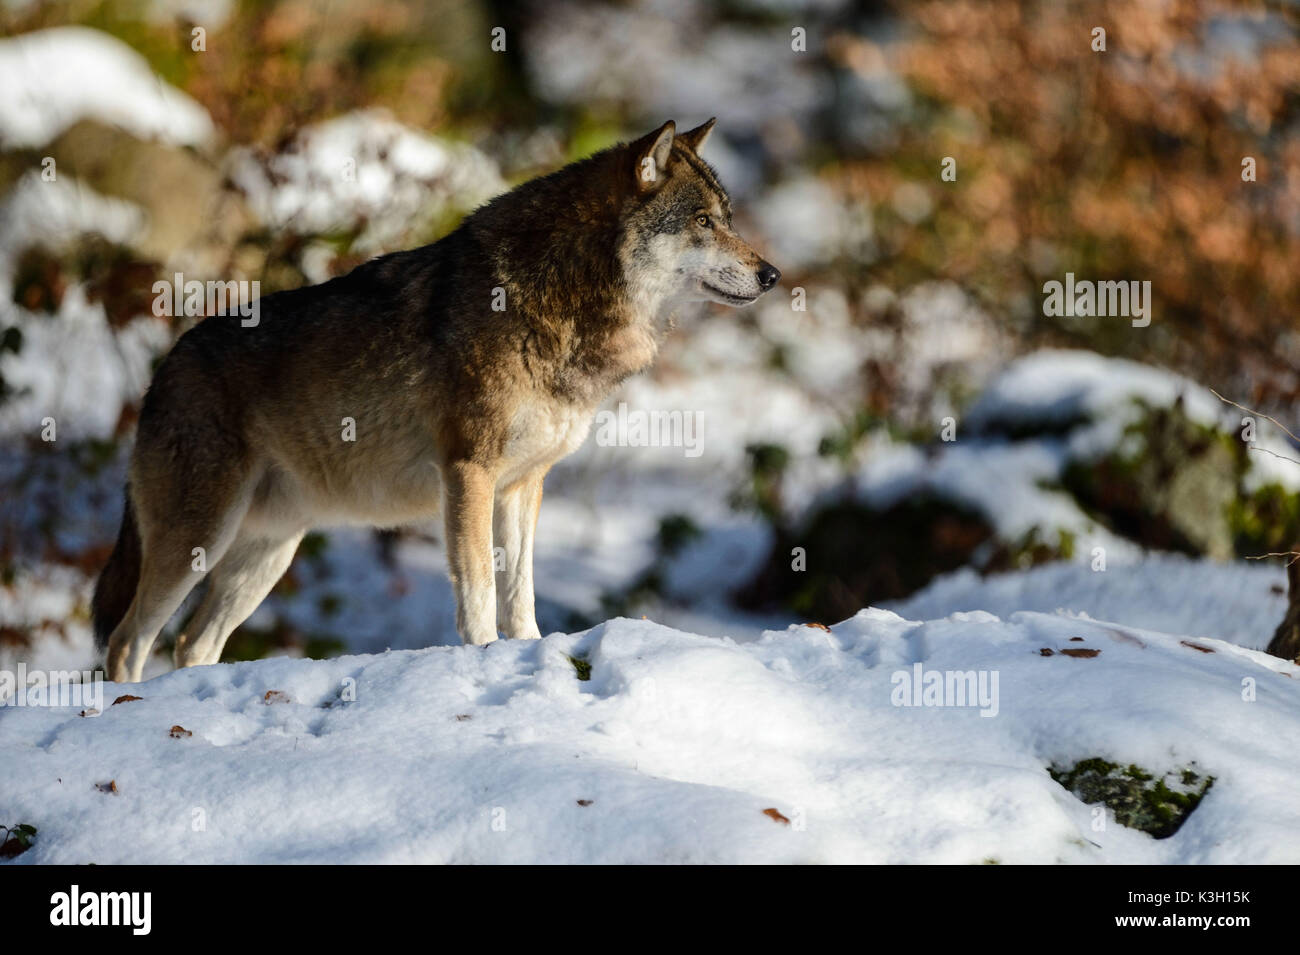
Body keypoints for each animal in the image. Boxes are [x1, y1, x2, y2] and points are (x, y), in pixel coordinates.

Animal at [94, 119, 780, 686]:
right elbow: (477, 592)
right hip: (200, 539)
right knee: (127, 641)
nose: (772, 275)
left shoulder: (523, 486)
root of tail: (164, 367)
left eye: (727, 217)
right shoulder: (468, 471)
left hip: (267, 553)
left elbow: (521, 594)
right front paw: (484, 658)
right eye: (704, 222)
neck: (562, 301)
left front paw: (530, 652)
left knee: (191, 643)